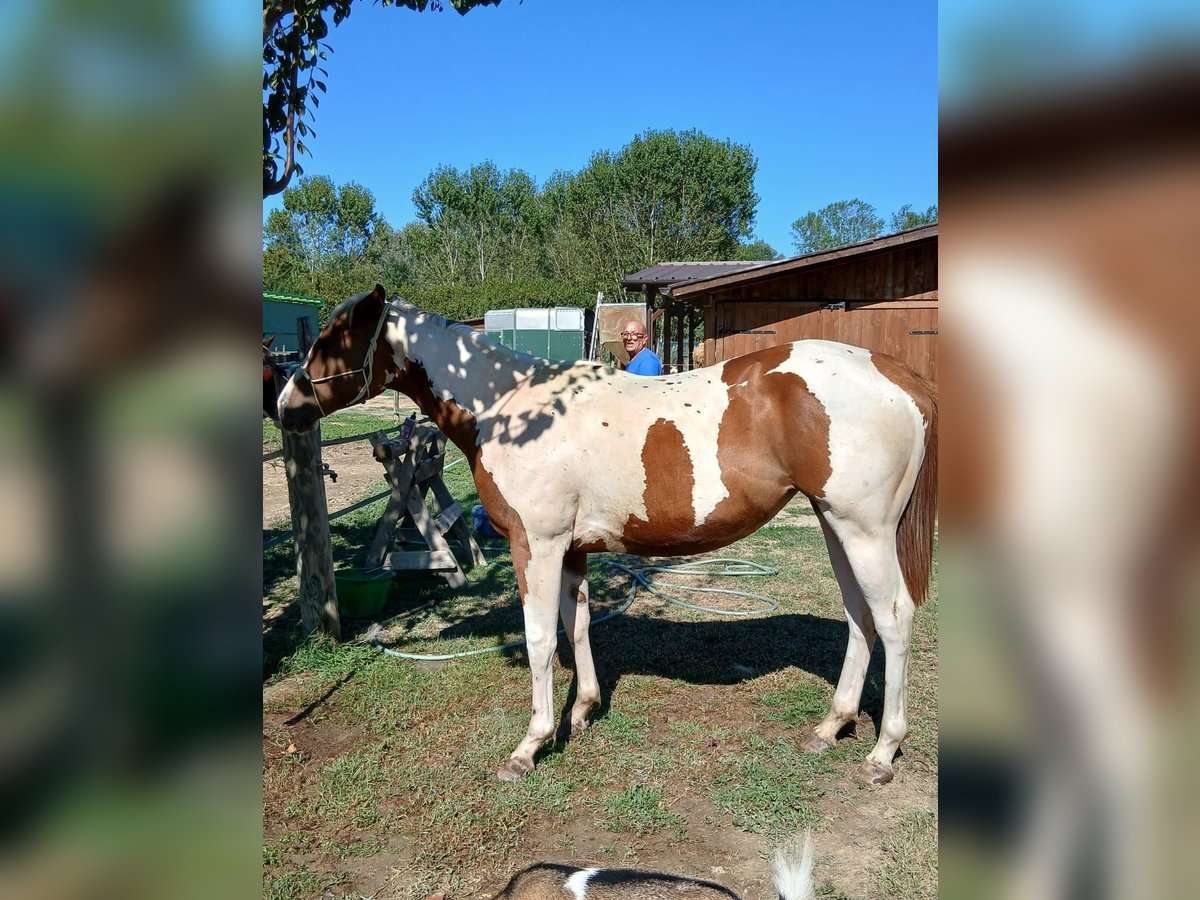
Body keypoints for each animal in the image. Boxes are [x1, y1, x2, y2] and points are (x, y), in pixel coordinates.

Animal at [276, 284, 938, 786]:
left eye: (333, 338)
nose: (283, 406)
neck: (512, 408)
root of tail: (898, 375)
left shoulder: (537, 545)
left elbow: (541, 638)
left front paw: (531, 744)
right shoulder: (571, 550)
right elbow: (579, 626)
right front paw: (583, 713)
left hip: (864, 530)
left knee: (893, 618)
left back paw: (882, 752)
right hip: (835, 524)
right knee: (859, 616)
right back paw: (831, 726)